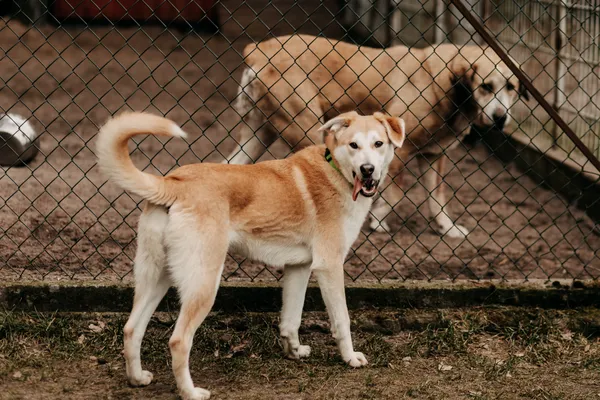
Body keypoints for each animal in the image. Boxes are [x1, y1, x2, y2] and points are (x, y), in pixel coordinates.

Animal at [97, 110, 408, 400]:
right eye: (354, 145)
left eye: (378, 143)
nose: (368, 170)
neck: (337, 171)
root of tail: (173, 182)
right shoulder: (329, 266)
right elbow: (342, 320)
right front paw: (351, 358)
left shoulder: (299, 267)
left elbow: (291, 320)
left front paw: (294, 352)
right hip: (203, 284)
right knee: (178, 341)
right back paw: (191, 392)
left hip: (157, 278)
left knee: (131, 329)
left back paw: (137, 378)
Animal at [225, 34, 528, 238]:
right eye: (486, 86)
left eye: (511, 87)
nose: (500, 118)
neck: (443, 83)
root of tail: (259, 50)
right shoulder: (398, 153)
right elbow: (396, 194)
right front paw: (379, 220)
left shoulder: (433, 156)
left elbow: (437, 198)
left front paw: (447, 227)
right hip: (307, 129)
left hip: (258, 135)